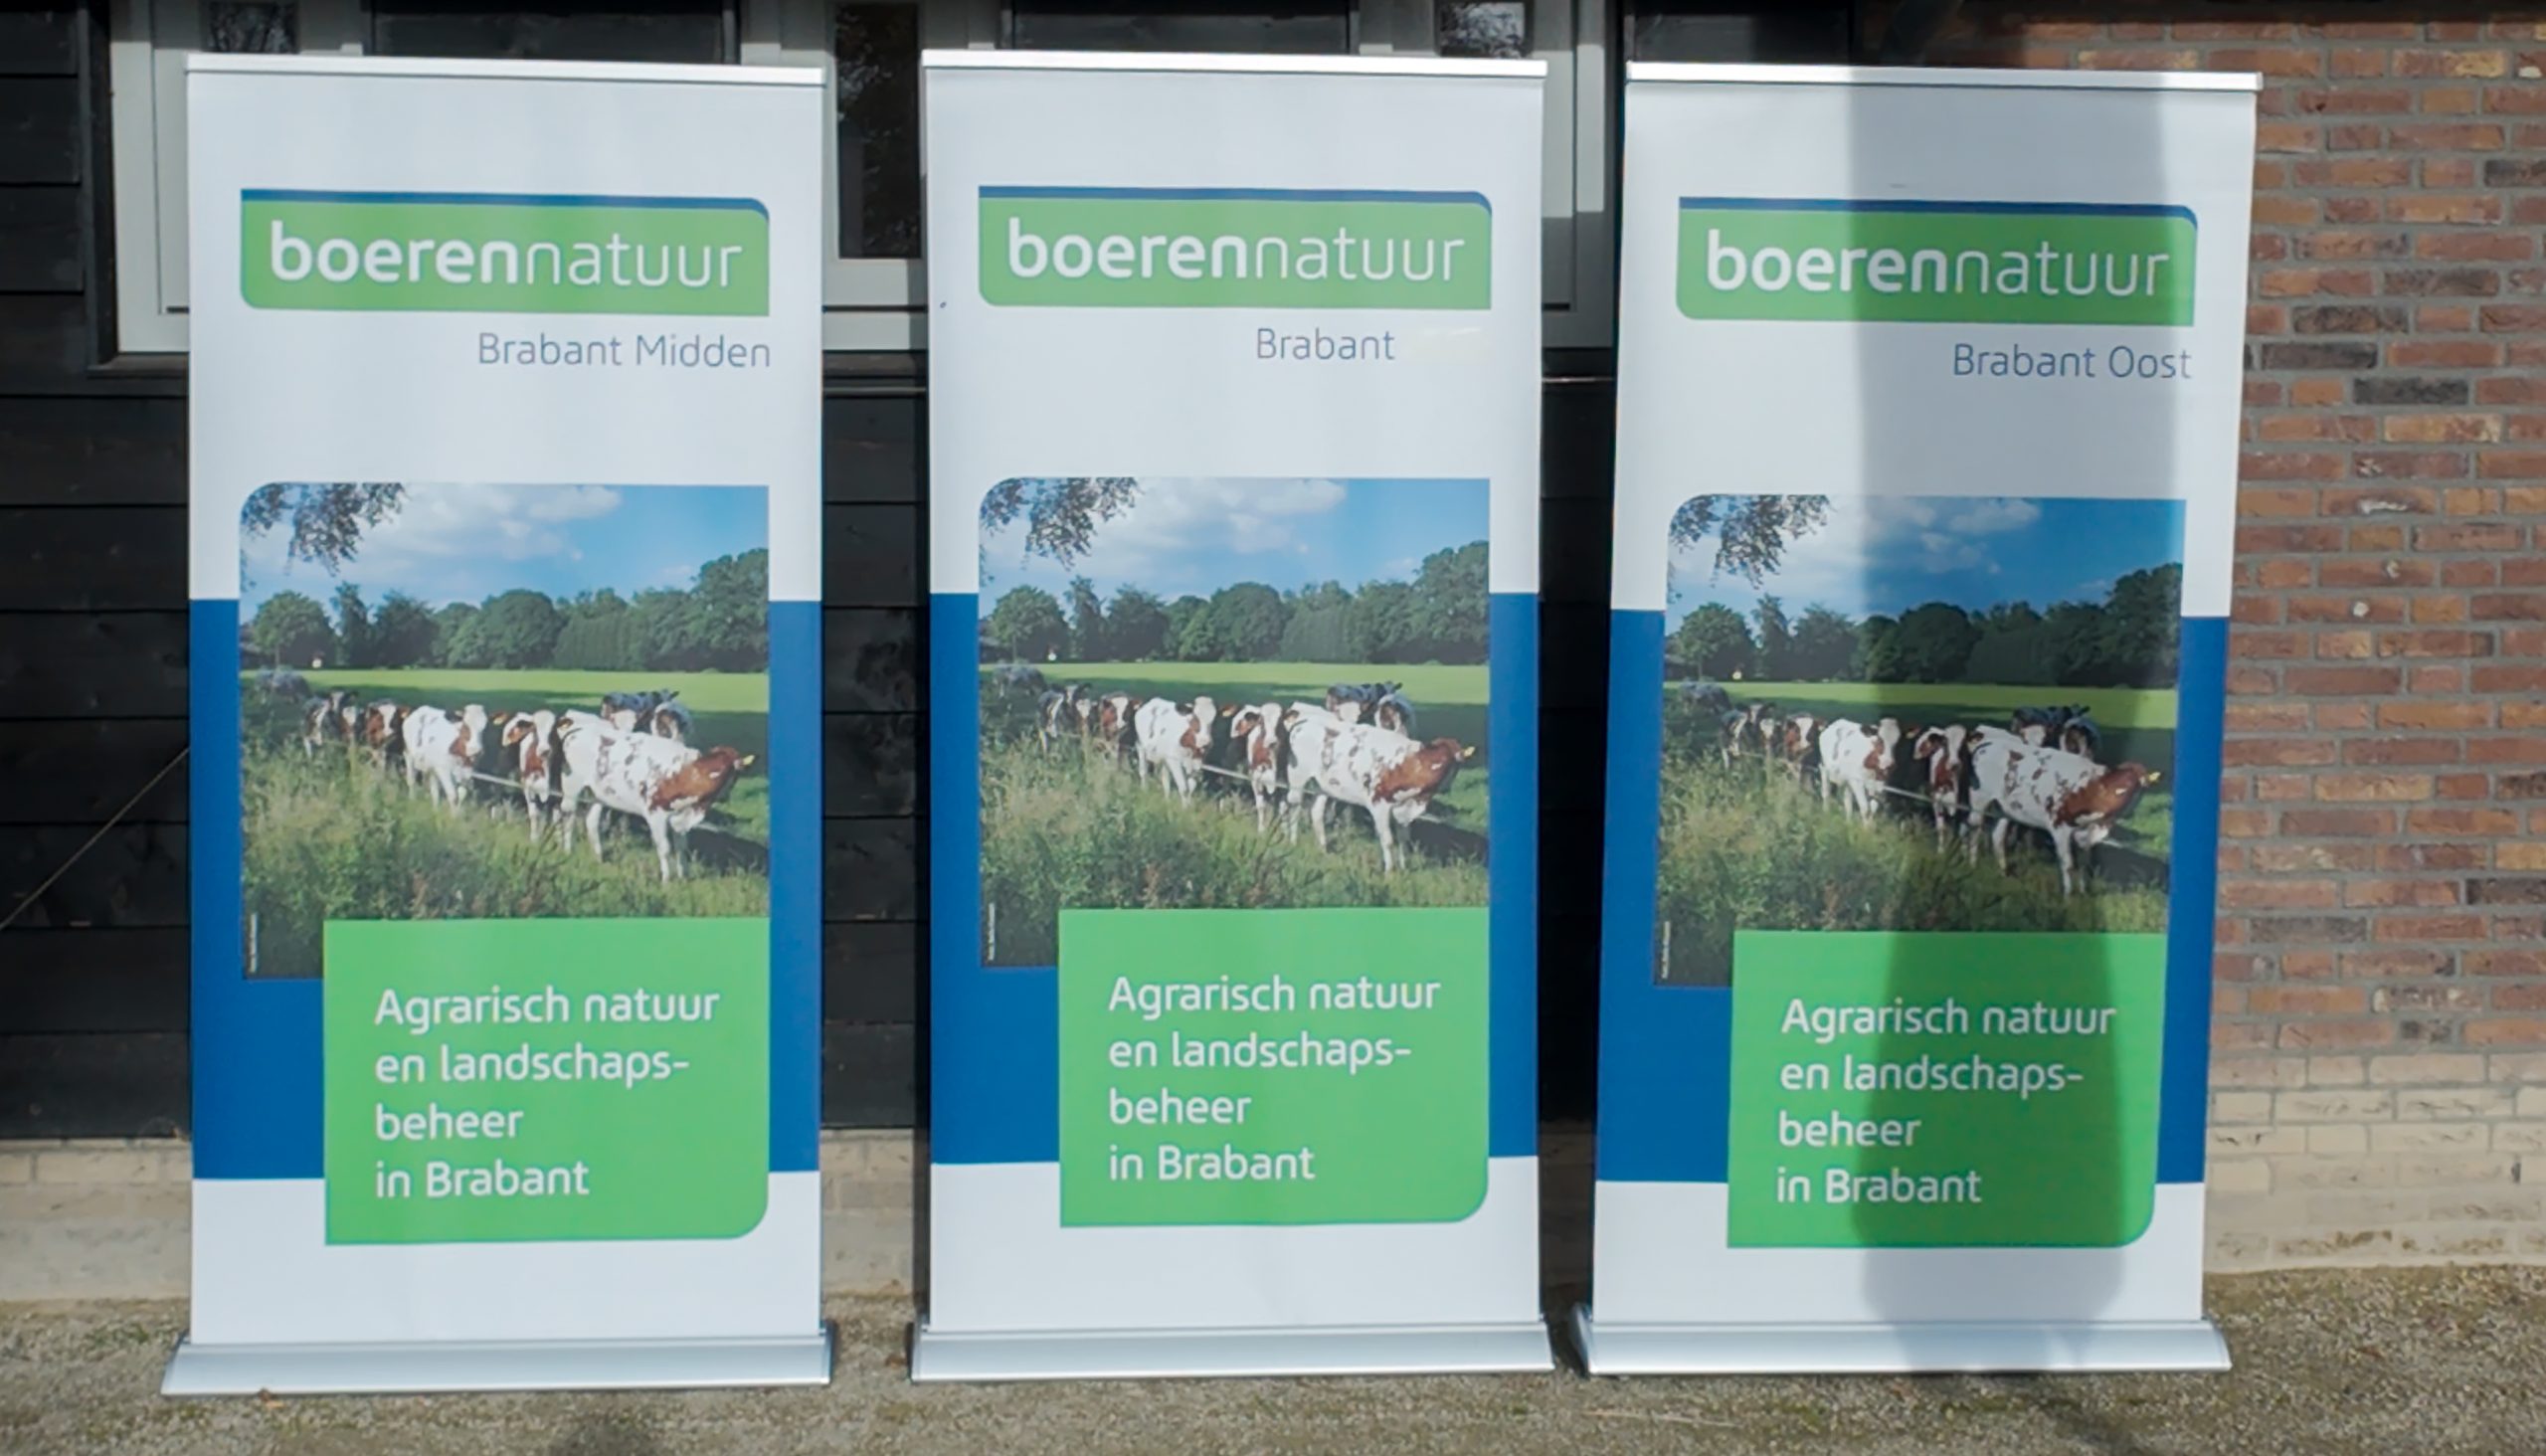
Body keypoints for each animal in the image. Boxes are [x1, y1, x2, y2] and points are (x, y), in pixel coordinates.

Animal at [552, 716, 756, 881]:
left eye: (735, 774)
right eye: (728, 772)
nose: (725, 797)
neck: (685, 774)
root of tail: (578, 730)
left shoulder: (679, 818)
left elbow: (682, 847)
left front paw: (684, 876)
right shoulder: (655, 814)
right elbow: (664, 848)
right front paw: (667, 880)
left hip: (599, 795)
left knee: (592, 822)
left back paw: (599, 857)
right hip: (571, 789)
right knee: (568, 817)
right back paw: (568, 849)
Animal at [1226, 701, 1289, 832]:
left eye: (1280, 721)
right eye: (1261, 721)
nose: (1271, 741)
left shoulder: (1283, 779)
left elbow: (1282, 807)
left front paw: (1284, 831)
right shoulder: (1256, 776)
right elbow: (1261, 805)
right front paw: (1261, 830)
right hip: (1231, 756)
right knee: (1226, 781)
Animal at [1284, 713, 1474, 874]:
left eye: (1456, 763)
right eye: (1441, 762)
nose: (1447, 788)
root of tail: (1305, 721)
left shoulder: (1403, 809)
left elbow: (1404, 839)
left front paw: (1404, 867)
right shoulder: (1379, 804)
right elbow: (1388, 840)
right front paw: (1390, 872)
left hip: (1323, 786)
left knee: (1316, 812)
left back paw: (1323, 848)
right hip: (1297, 778)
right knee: (1294, 807)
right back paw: (1293, 841)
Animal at [1966, 736, 2159, 895]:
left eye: (2140, 788)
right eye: (2125, 786)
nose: (2129, 809)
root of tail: (1989, 743)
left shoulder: (2085, 835)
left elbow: (2084, 865)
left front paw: (2083, 893)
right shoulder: (2059, 828)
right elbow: (2068, 864)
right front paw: (2068, 897)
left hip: (2005, 809)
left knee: (1998, 837)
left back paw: (2003, 872)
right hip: (1979, 800)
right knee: (1975, 830)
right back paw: (1972, 864)